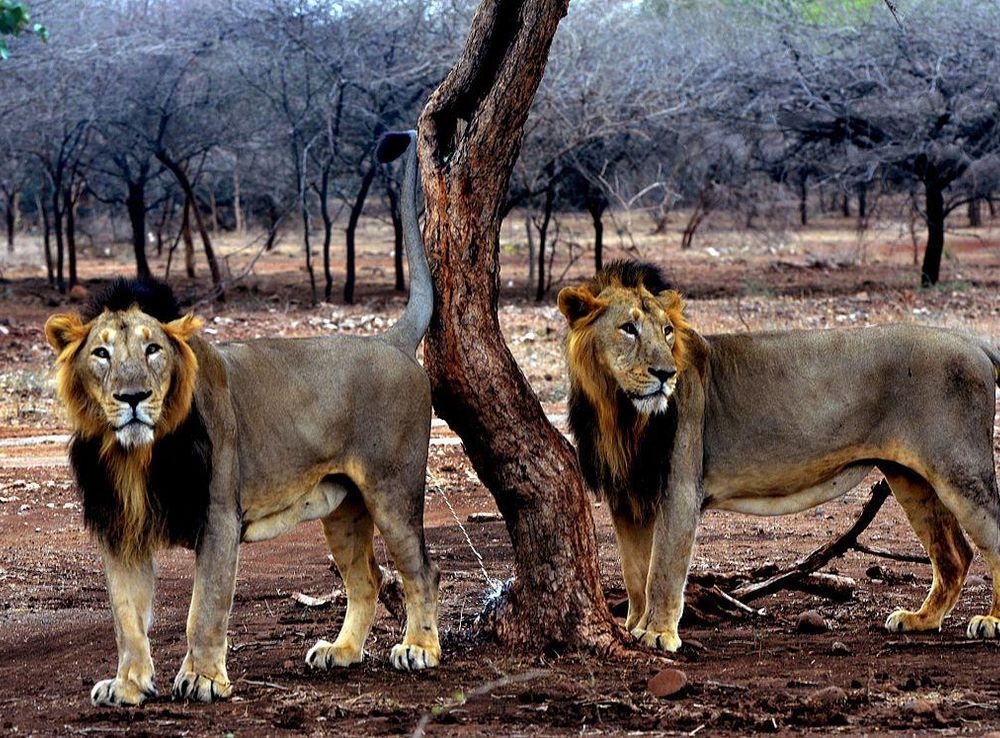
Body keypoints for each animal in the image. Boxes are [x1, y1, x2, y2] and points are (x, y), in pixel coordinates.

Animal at [44, 131, 440, 707]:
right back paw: (341, 651)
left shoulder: (218, 517)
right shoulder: (121, 528)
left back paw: (420, 649)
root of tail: (390, 340)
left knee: (421, 571)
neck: (138, 453)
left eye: (153, 349)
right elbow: (125, 617)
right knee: (366, 579)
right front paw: (128, 684)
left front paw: (204, 679)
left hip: (392, 490)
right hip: (344, 507)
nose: (133, 396)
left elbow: (204, 609)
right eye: (101, 353)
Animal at [558, 260, 1000, 654]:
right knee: (955, 554)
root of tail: (970, 340)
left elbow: (662, 570)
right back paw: (920, 619)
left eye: (667, 331)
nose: (666, 374)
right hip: (910, 478)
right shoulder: (626, 498)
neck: (617, 411)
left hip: (959, 468)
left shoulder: (680, 487)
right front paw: (631, 627)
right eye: (628, 328)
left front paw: (656, 634)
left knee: (991, 534)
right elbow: (634, 572)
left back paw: (991, 621)